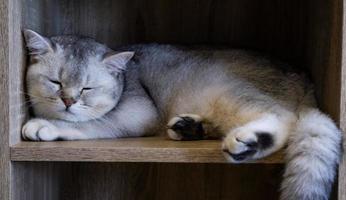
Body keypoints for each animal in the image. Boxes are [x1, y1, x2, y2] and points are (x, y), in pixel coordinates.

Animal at [23, 29, 342, 200]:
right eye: (55, 82)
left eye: (87, 88)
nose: (68, 100)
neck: (126, 78)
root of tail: (303, 78)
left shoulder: (139, 111)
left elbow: (92, 123)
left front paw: (46, 125)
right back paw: (190, 127)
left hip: (225, 87)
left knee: (283, 117)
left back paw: (248, 142)